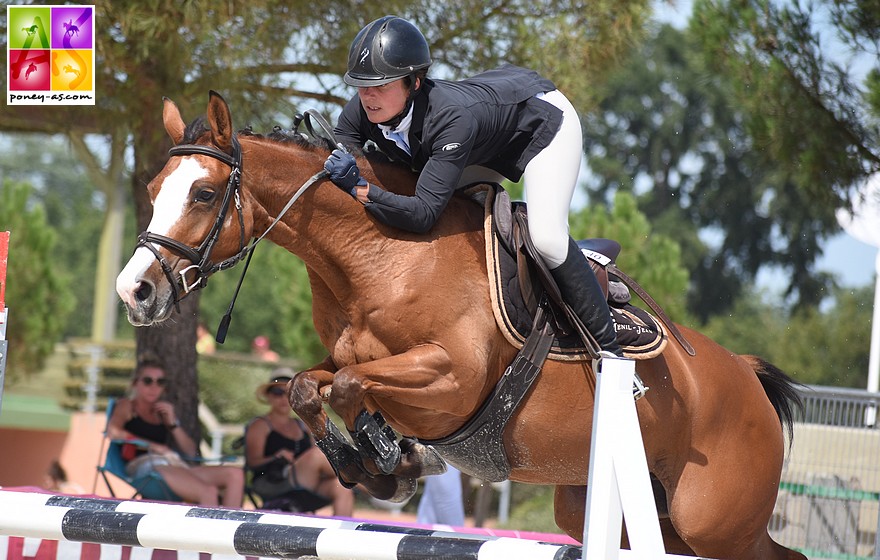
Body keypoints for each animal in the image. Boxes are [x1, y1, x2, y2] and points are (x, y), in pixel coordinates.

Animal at [115, 89, 804, 556]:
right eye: (151, 189)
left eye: (204, 194)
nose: (134, 291)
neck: (381, 254)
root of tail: (744, 374)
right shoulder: (351, 357)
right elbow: (311, 387)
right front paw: (378, 462)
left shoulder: (451, 378)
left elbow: (350, 386)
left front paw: (391, 461)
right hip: (619, 509)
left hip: (714, 522)